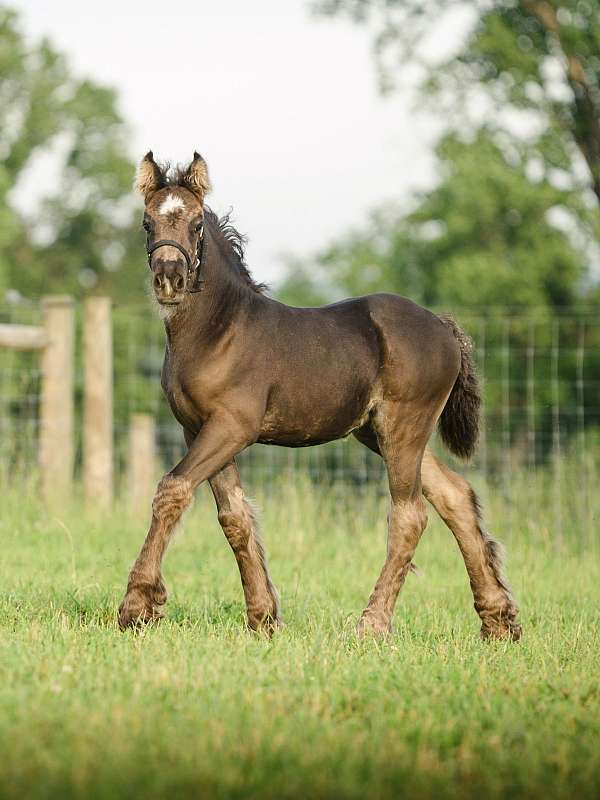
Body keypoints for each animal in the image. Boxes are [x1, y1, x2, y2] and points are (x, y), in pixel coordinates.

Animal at [118, 151, 521, 641]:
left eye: (196, 224)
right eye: (147, 222)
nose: (170, 279)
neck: (217, 331)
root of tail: (444, 327)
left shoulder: (232, 427)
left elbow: (172, 491)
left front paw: (138, 605)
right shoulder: (196, 429)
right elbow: (234, 518)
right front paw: (263, 618)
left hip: (404, 428)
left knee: (410, 515)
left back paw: (372, 625)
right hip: (379, 432)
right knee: (455, 496)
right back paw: (498, 621)